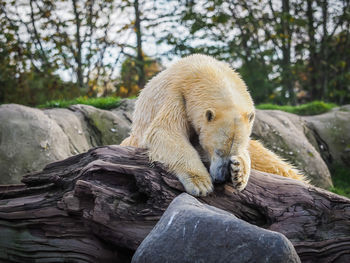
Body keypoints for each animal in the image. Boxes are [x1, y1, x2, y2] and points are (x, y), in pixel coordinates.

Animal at [121, 54, 304, 197]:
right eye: (217, 151)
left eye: (233, 152)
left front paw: (239, 172)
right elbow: (165, 132)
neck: (205, 72)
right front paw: (201, 184)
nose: (221, 178)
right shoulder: (177, 96)